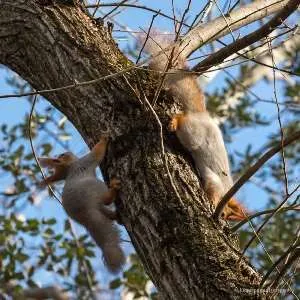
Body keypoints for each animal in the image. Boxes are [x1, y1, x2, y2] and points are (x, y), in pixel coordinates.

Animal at [39, 135, 125, 274]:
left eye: (61, 155)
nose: (65, 152)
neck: (69, 169)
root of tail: (86, 215)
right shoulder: (84, 162)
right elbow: (97, 153)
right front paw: (104, 139)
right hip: (95, 188)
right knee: (106, 200)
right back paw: (113, 188)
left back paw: (116, 216)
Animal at [138, 31, 246, 221]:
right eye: (226, 213)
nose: (221, 216)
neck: (225, 191)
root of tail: (201, 115)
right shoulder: (215, 182)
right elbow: (211, 189)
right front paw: (211, 202)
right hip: (193, 134)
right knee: (182, 120)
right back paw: (174, 121)